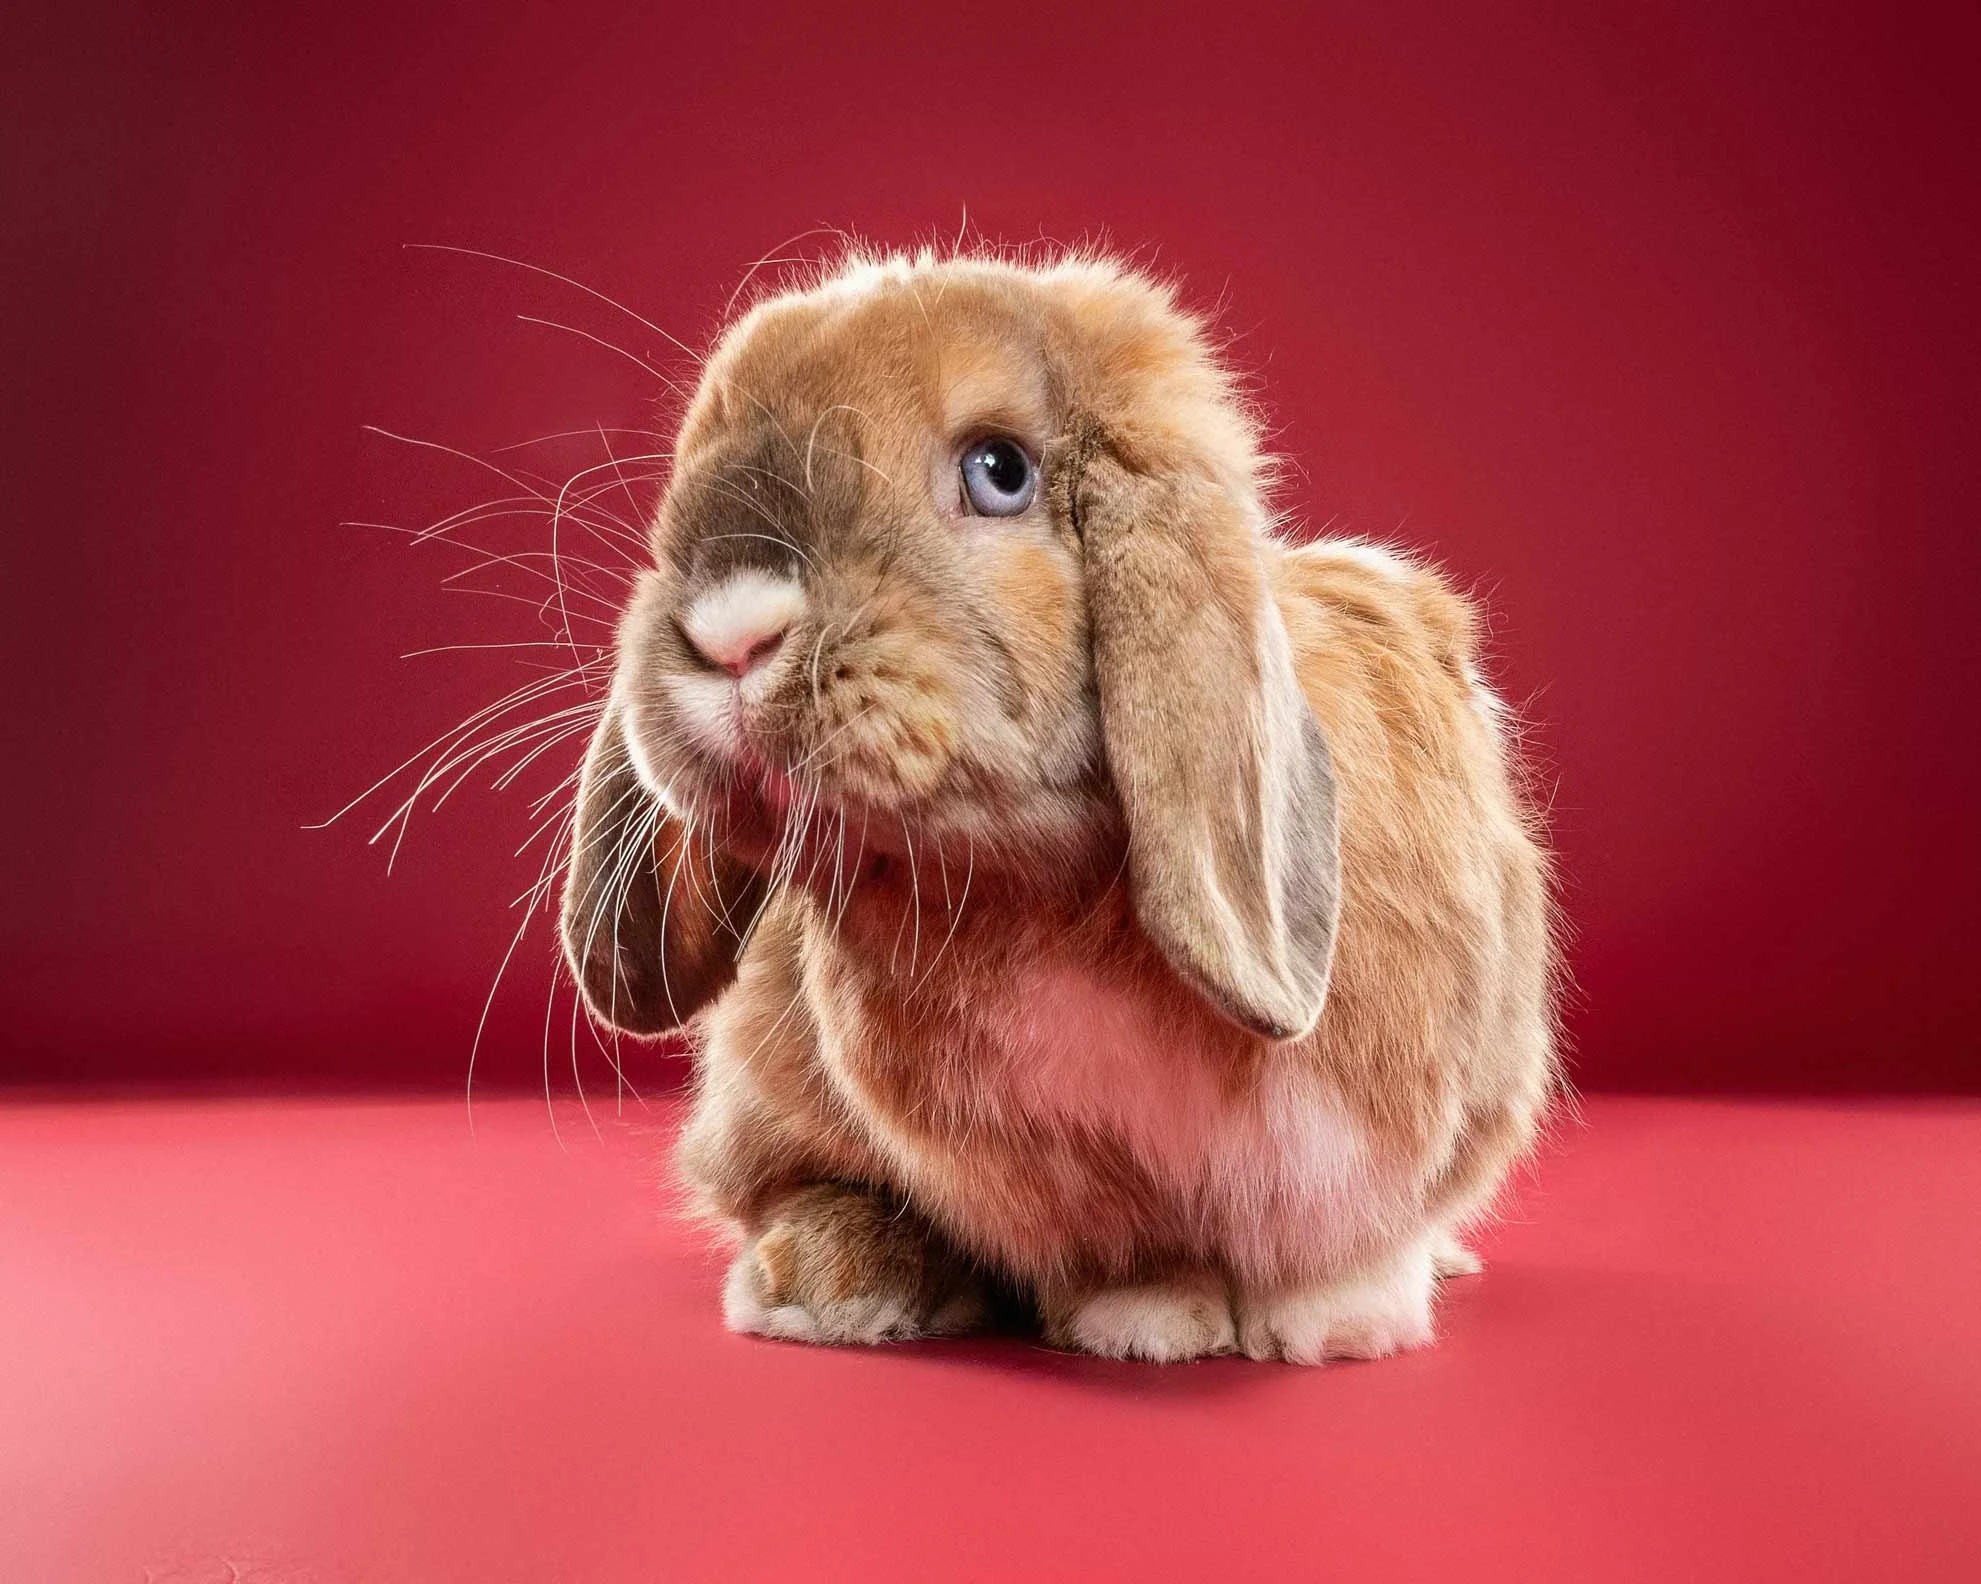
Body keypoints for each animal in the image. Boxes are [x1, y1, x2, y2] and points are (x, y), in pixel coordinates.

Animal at [559, 248, 1557, 1364]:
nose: (727, 634)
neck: (1046, 898)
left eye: (999, 472)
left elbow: (1352, 1241)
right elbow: (1129, 1248)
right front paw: (1149, 1320)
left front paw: (1337, 1325)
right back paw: (831, 1284)